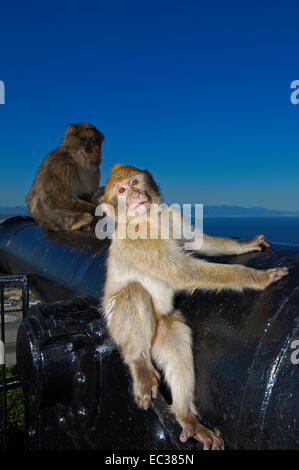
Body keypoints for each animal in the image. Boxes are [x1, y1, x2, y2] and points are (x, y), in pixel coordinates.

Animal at [101, 163, 290, 450]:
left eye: (135, 182)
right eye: (121, 191)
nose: (134, 195)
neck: (148, 219)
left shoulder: (168, 215)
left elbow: (196, 242)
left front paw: (246, 244)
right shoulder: (140, 242)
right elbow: (182, 272)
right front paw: (256, 278)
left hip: (162, 326)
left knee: (178, 337)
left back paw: (186, 417)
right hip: (117, 326)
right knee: (136, 291)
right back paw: (139, 362)